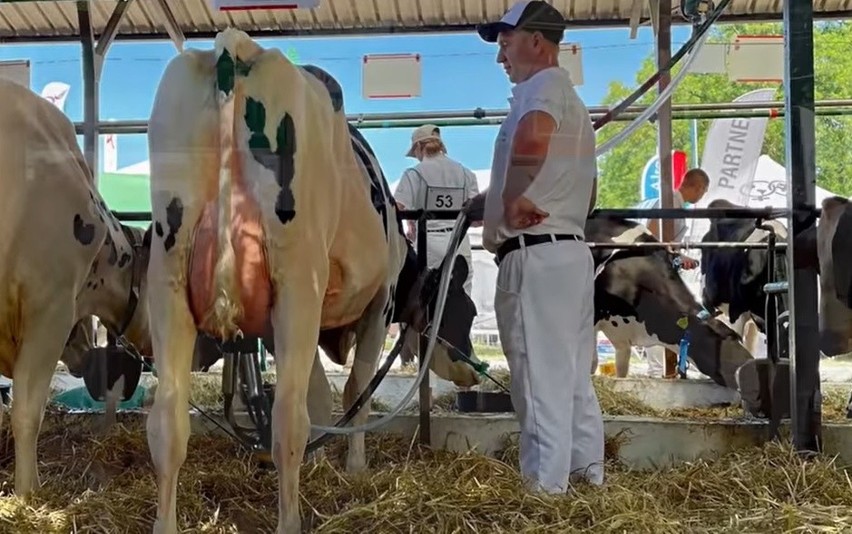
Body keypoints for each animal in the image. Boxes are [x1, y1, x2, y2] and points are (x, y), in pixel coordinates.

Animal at [144, 30, 482, 534]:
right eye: (466, 311)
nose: (472, 370)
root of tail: (236, 47)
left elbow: (321, 395)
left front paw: (323, 461)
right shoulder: (376, 306)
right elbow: (355, 391)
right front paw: (355, 467)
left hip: (168, 277)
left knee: (167, 418)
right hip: (297, 279)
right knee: (288, 418)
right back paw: (291, 519)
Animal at [584, 217, 752, 390]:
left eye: (737, 338)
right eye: (717, 341)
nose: (750, 368)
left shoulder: (622, 338)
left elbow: (621, 373)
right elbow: (592, 364)